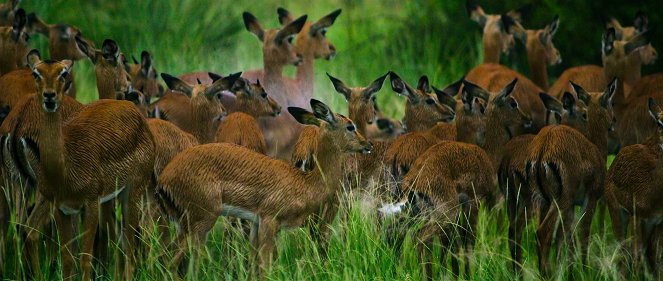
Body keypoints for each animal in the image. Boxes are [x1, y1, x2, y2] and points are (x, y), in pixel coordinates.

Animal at [21, 51, 156, 278]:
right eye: (35, 73)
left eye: (63, 73)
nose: (49, 96)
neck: (65, 168)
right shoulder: (62, 208)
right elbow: (67, 259)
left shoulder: (91, 202)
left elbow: (85, 259)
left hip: (133, 191)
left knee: (129, 245)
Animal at [156, 98, 374, 278]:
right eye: (350, 126)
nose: (368, 144)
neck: (305, 183)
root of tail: (164, 179)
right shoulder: (270, 220)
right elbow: (265, 269)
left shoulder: (256, 223)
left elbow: (255, 269)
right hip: (202, 220)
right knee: (173, 263)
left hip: (185, 223)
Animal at [524, 80, 616, 276]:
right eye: (611, 102)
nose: (614, 121)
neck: (597, 149)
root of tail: (543, 150)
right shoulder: (590, 197)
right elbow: (582, 232)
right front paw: (585, 270)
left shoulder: (573, 205)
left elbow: (566, 237)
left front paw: (569, 271)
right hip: (561, 199)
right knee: (543, 232)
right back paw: (547, 273)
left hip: (543, 199)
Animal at [608, 97, 663, 276]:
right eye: (659, 122)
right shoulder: (637, 216)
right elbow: (636, 254)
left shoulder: (658, 221)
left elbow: (656, 257)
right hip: (618, 213)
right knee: (624, 250)